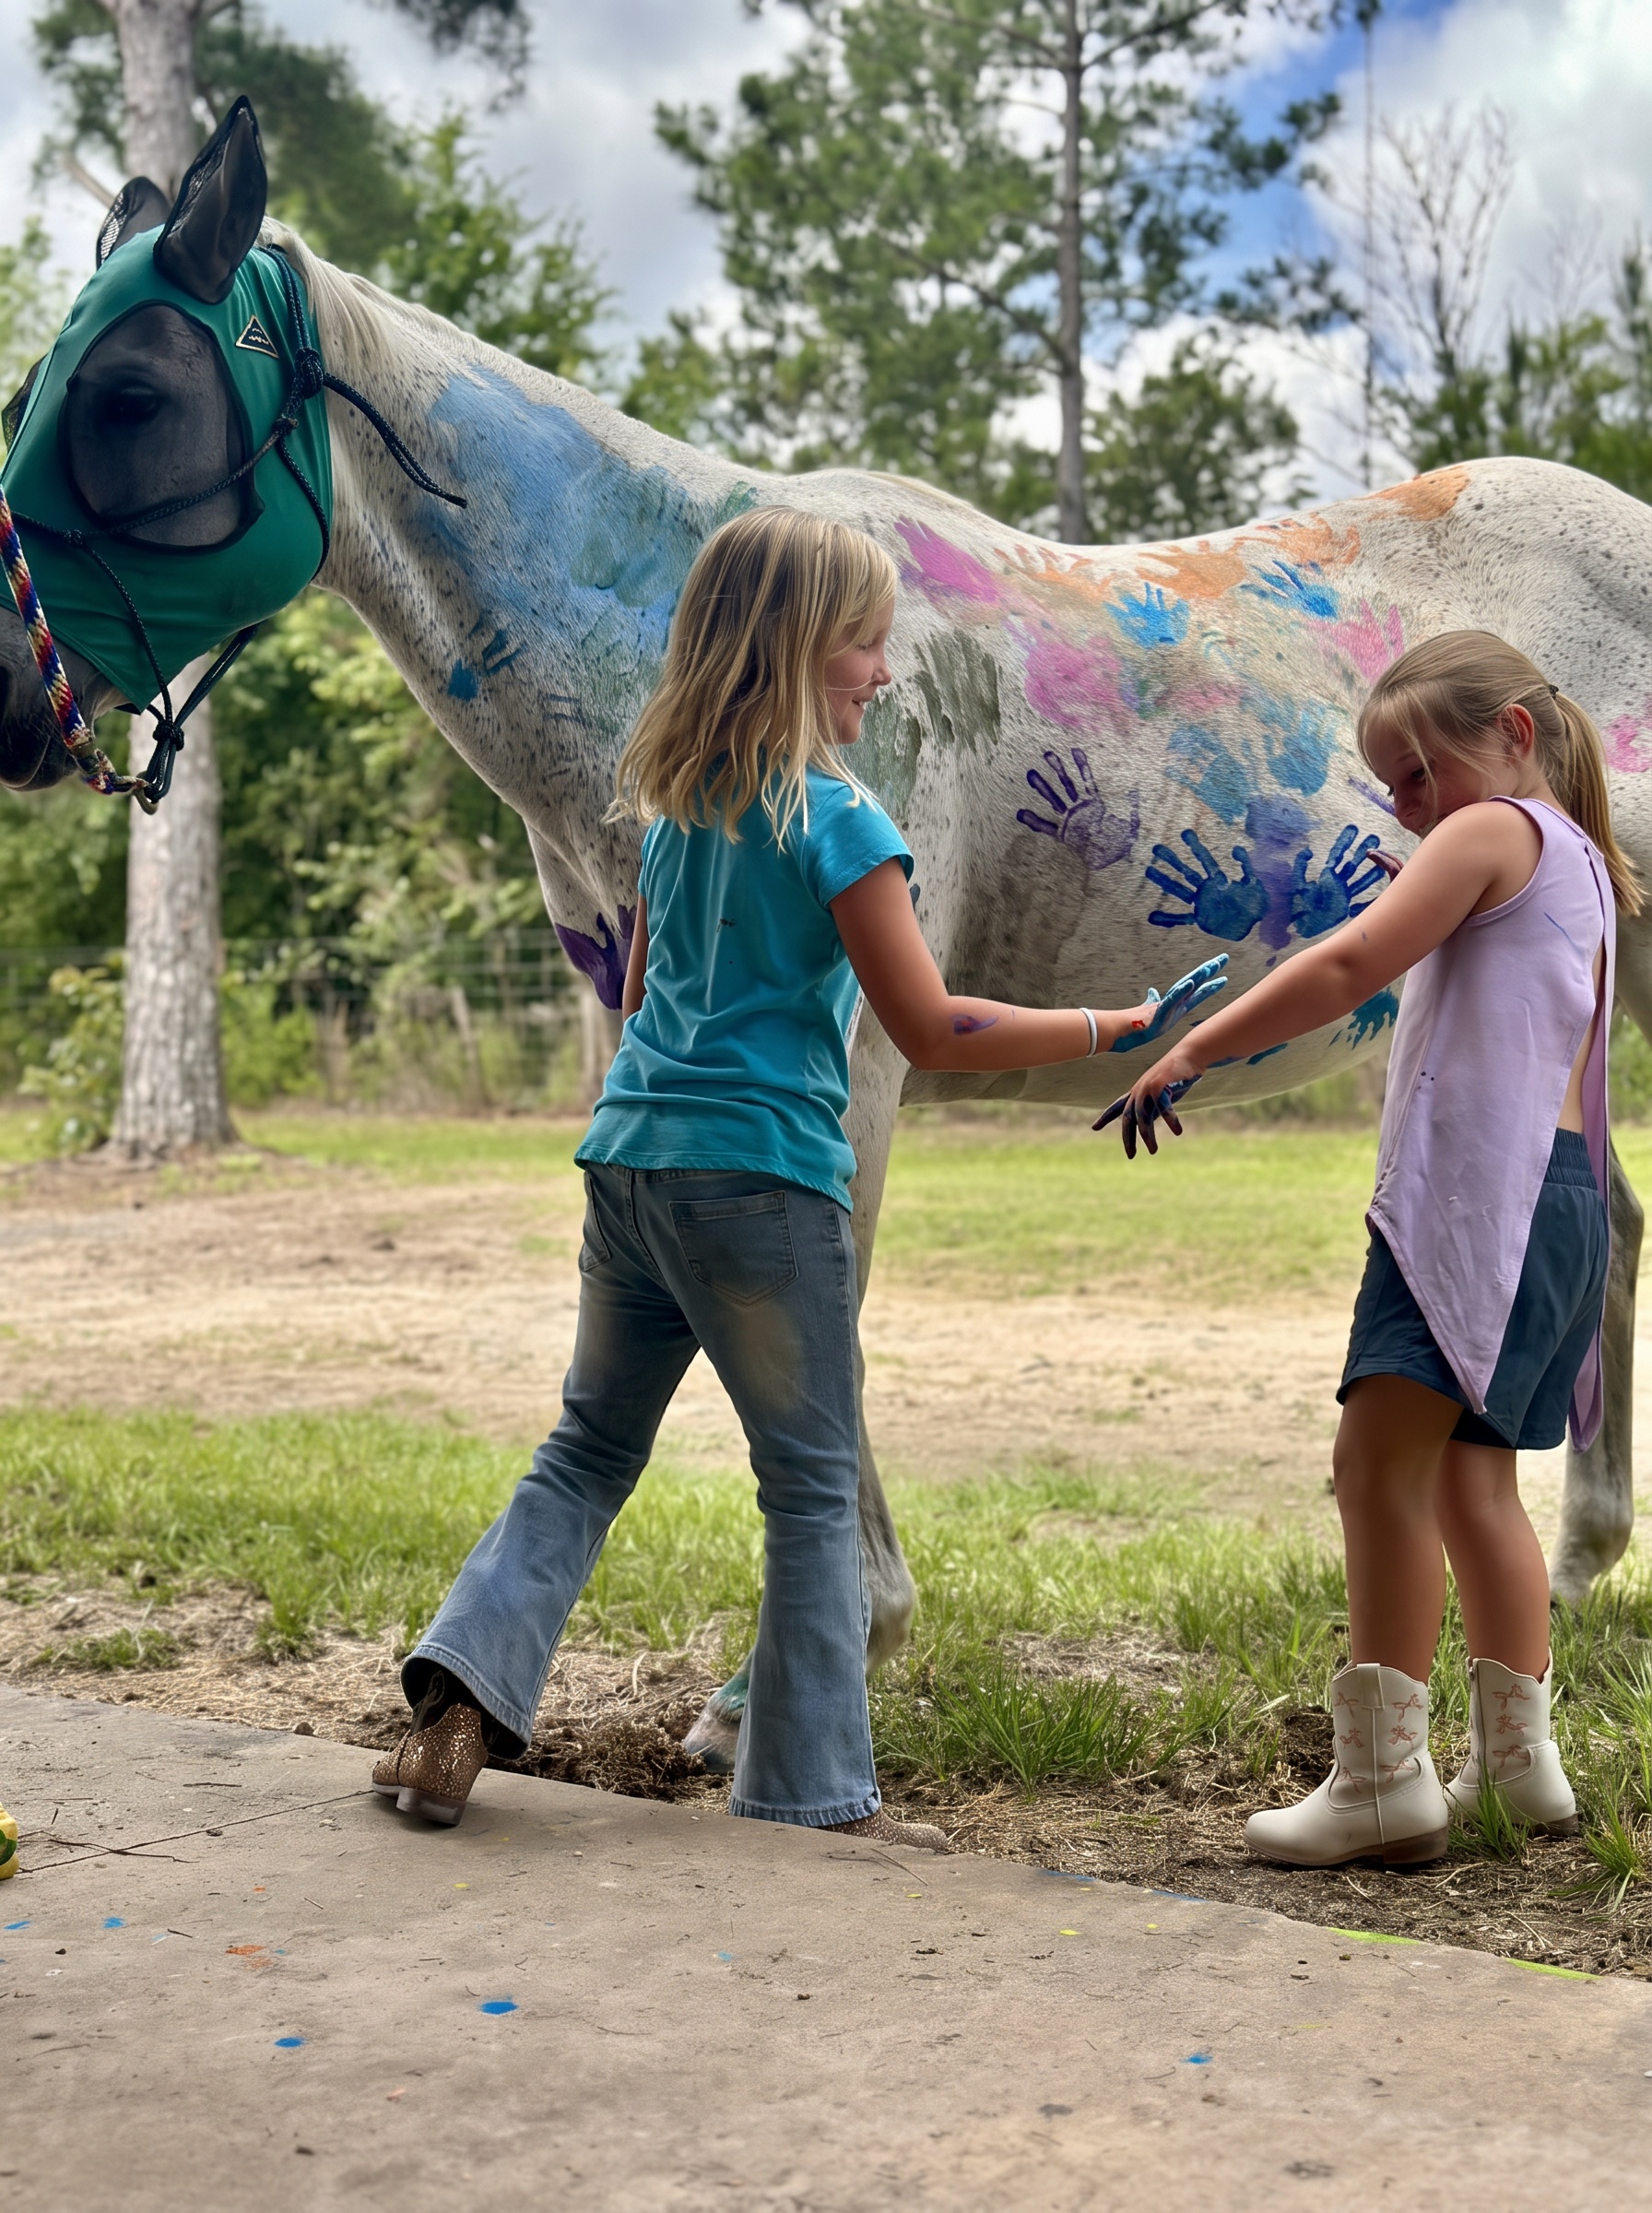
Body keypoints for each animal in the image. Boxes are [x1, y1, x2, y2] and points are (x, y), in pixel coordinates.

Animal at [4, 103, 1649, 1771]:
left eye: (132, 393)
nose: (13, 692)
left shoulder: (850, 1055)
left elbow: (816, 1318)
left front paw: (801, 1671)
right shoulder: (662, 1041)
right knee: (1602, 1223)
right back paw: (1576, 1574)